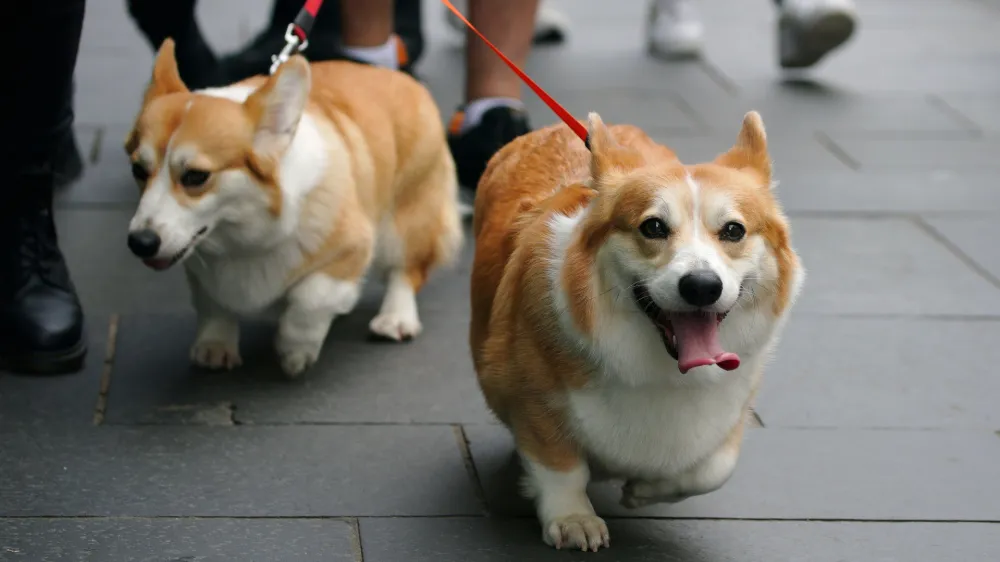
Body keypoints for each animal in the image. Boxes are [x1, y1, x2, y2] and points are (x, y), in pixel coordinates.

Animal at [124, 40, 460, 376]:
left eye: (195, 176)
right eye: (138, 170)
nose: (140, 243)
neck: (242, 238)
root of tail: (404, 80)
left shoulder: (353, 246)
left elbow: (311, 297)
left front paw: (295, 350)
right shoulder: (200, 268)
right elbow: (212, 304)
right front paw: (214, 346)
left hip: (405, 221)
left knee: (407, 270)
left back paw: (395, 318)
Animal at [468, 111, 804, 548]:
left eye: (734, 231)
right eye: (654, 227)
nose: (701, 286)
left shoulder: (732, 406)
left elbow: (714, 469)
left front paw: (645, 490)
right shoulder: (531, 394)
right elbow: (561, 467)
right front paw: (573, 519)